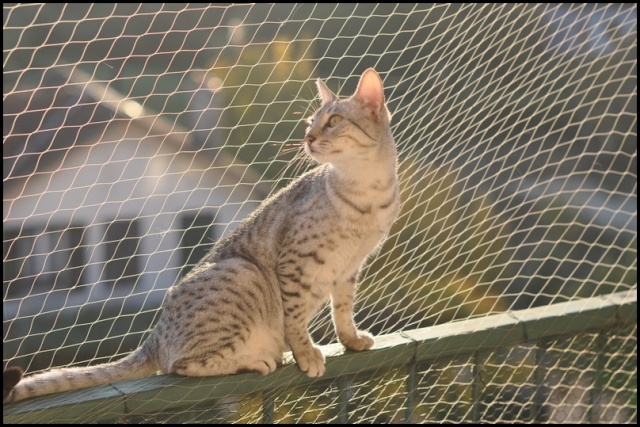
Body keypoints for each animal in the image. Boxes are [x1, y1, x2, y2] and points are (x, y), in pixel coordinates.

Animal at [2, 67, 398, 404]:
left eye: (334, 121)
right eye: (311, 123)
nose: (308, 138)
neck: (367, 193)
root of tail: (154, 338)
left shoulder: (349, 268)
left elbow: (342, 310)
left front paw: (351, 340)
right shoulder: (295, 263)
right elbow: (296, 318)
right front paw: (306, 352)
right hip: (243, 271)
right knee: (181, 364)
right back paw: (255, 359)